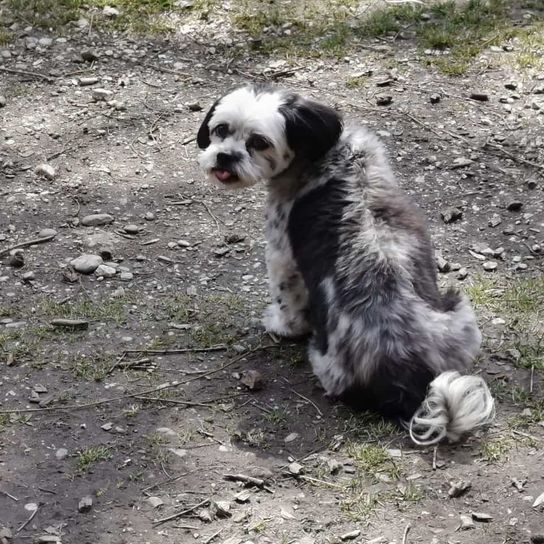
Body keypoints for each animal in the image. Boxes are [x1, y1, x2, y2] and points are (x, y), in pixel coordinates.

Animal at [198, 83, 496, 444]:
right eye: (221, 130)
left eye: (258, 142)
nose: (225, 156)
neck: (328, 155)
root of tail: (406, 377)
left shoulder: (282, 255)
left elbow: (287, 301)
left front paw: (281, 326)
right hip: (461, 314)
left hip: (325, 360)